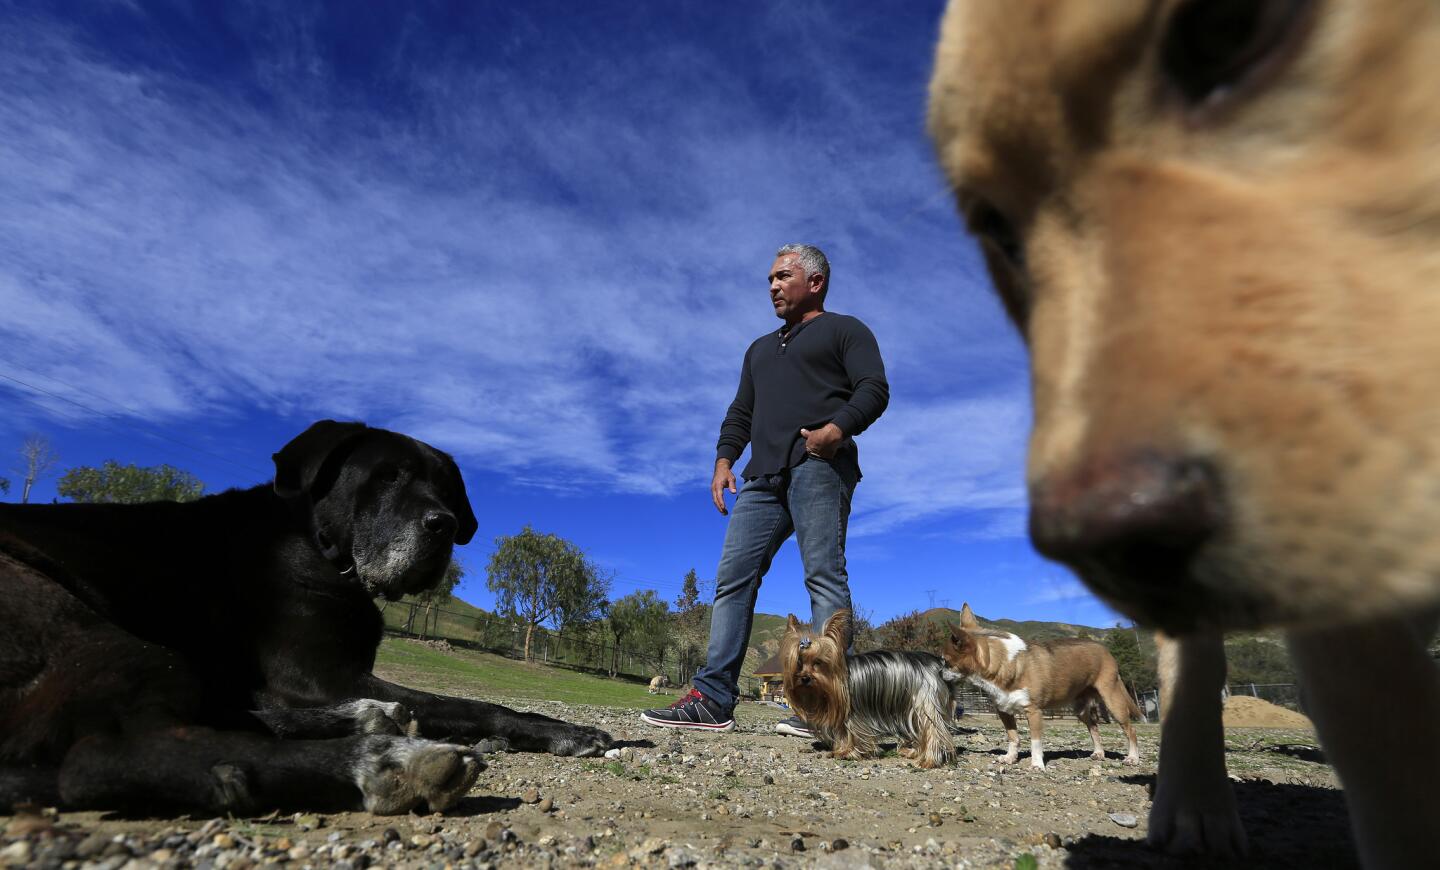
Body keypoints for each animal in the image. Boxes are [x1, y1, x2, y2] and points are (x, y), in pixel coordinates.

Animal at [0, 420, 610, 818]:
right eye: (388, 477)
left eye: (446, 487)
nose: (445, 524)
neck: (320, 548)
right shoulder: (315, 675)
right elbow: (468, 703)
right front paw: (563, 729)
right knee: (104, 757)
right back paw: (386, 759)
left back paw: (370, 720)